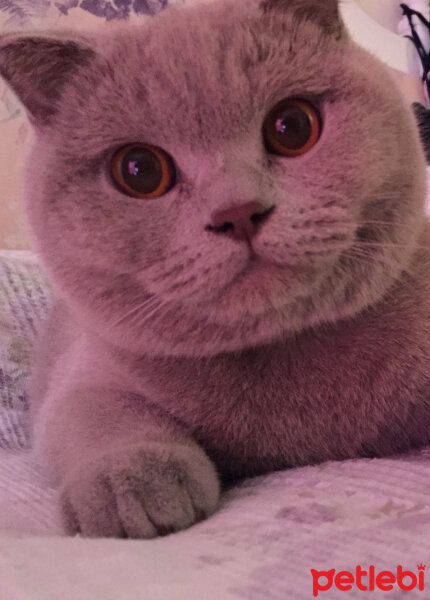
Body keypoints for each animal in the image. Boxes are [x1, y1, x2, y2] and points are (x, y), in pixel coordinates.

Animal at [0, 0, 428, 540]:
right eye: (139, 170)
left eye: (292, 126)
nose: (238, 211)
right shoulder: (81, 376)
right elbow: (97, 414)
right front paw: (131, 483)